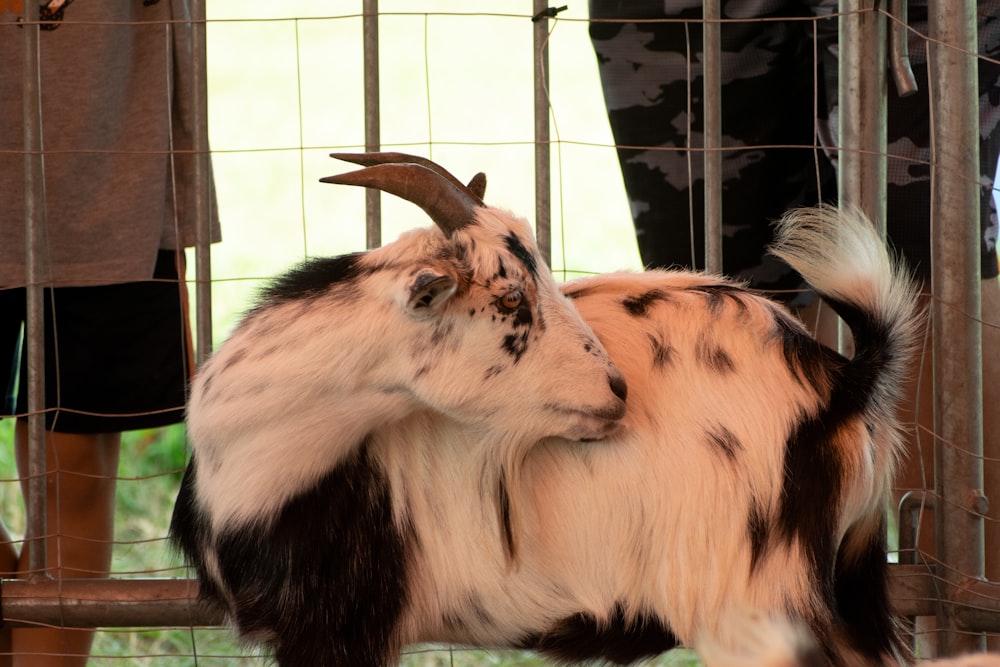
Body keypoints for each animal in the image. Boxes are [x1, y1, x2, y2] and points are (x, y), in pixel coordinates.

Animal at [170, 153, 920, 667]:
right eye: (511, 298)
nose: (617, 390)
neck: (251, 463)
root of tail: (844, 379)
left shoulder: (342, 629)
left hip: (757, 609)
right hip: (853, 593)